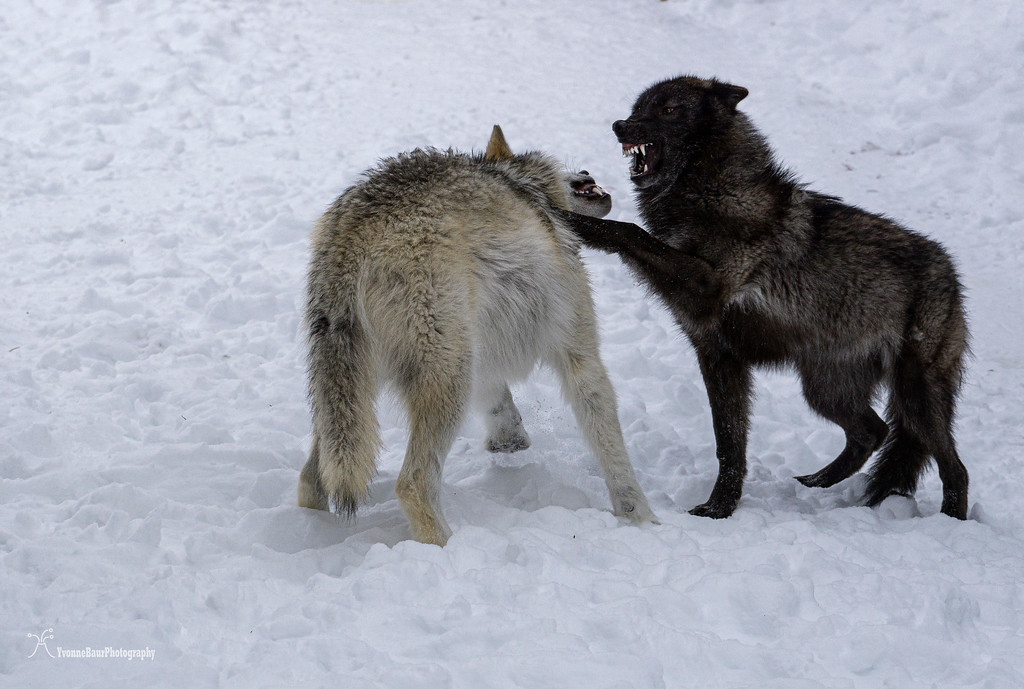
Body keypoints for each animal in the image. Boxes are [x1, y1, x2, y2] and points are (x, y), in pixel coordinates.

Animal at [298, 125, 656, 545]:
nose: (585, 170)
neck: (529, 189)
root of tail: (349, 234)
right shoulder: (580, 355)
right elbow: (614, 453)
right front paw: (643, 521)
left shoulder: (484, 345)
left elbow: (499, 400)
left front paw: (509, 441)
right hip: (449, 377)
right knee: (413, 484)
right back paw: (449, 546)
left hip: (364, 394)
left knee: (311, 480)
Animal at [561, 76, 970, 520]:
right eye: (638, 108)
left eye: (668, 110)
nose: (620, 125)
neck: (713, 190)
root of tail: (951, 273)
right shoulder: (718, 355)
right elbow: (729, 443)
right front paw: (721, 506)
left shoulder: (706, 289)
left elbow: (630, 231)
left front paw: (569, 217)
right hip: (825, 391)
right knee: (873, 432)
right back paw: (816, 482)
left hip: (913, 397)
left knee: (953, 466)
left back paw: (950, 520)